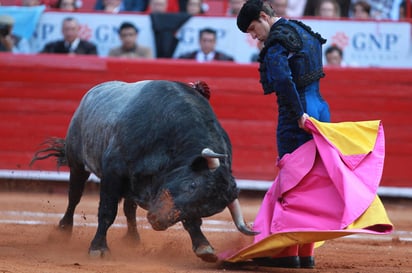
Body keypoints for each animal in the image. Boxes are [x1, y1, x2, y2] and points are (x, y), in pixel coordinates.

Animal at [32, 79, 256, 262]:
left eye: (207, 209)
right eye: (191, 185)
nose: (156, 221)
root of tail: (92, 93)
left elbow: (190, 220)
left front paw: (203, 246)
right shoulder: (113, 175)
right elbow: (107, 212)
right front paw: (98, 248)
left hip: (130, 187)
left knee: (129, 210)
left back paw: (133, 238)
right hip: (78, 164)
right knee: (74, 197)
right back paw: (63, 231)